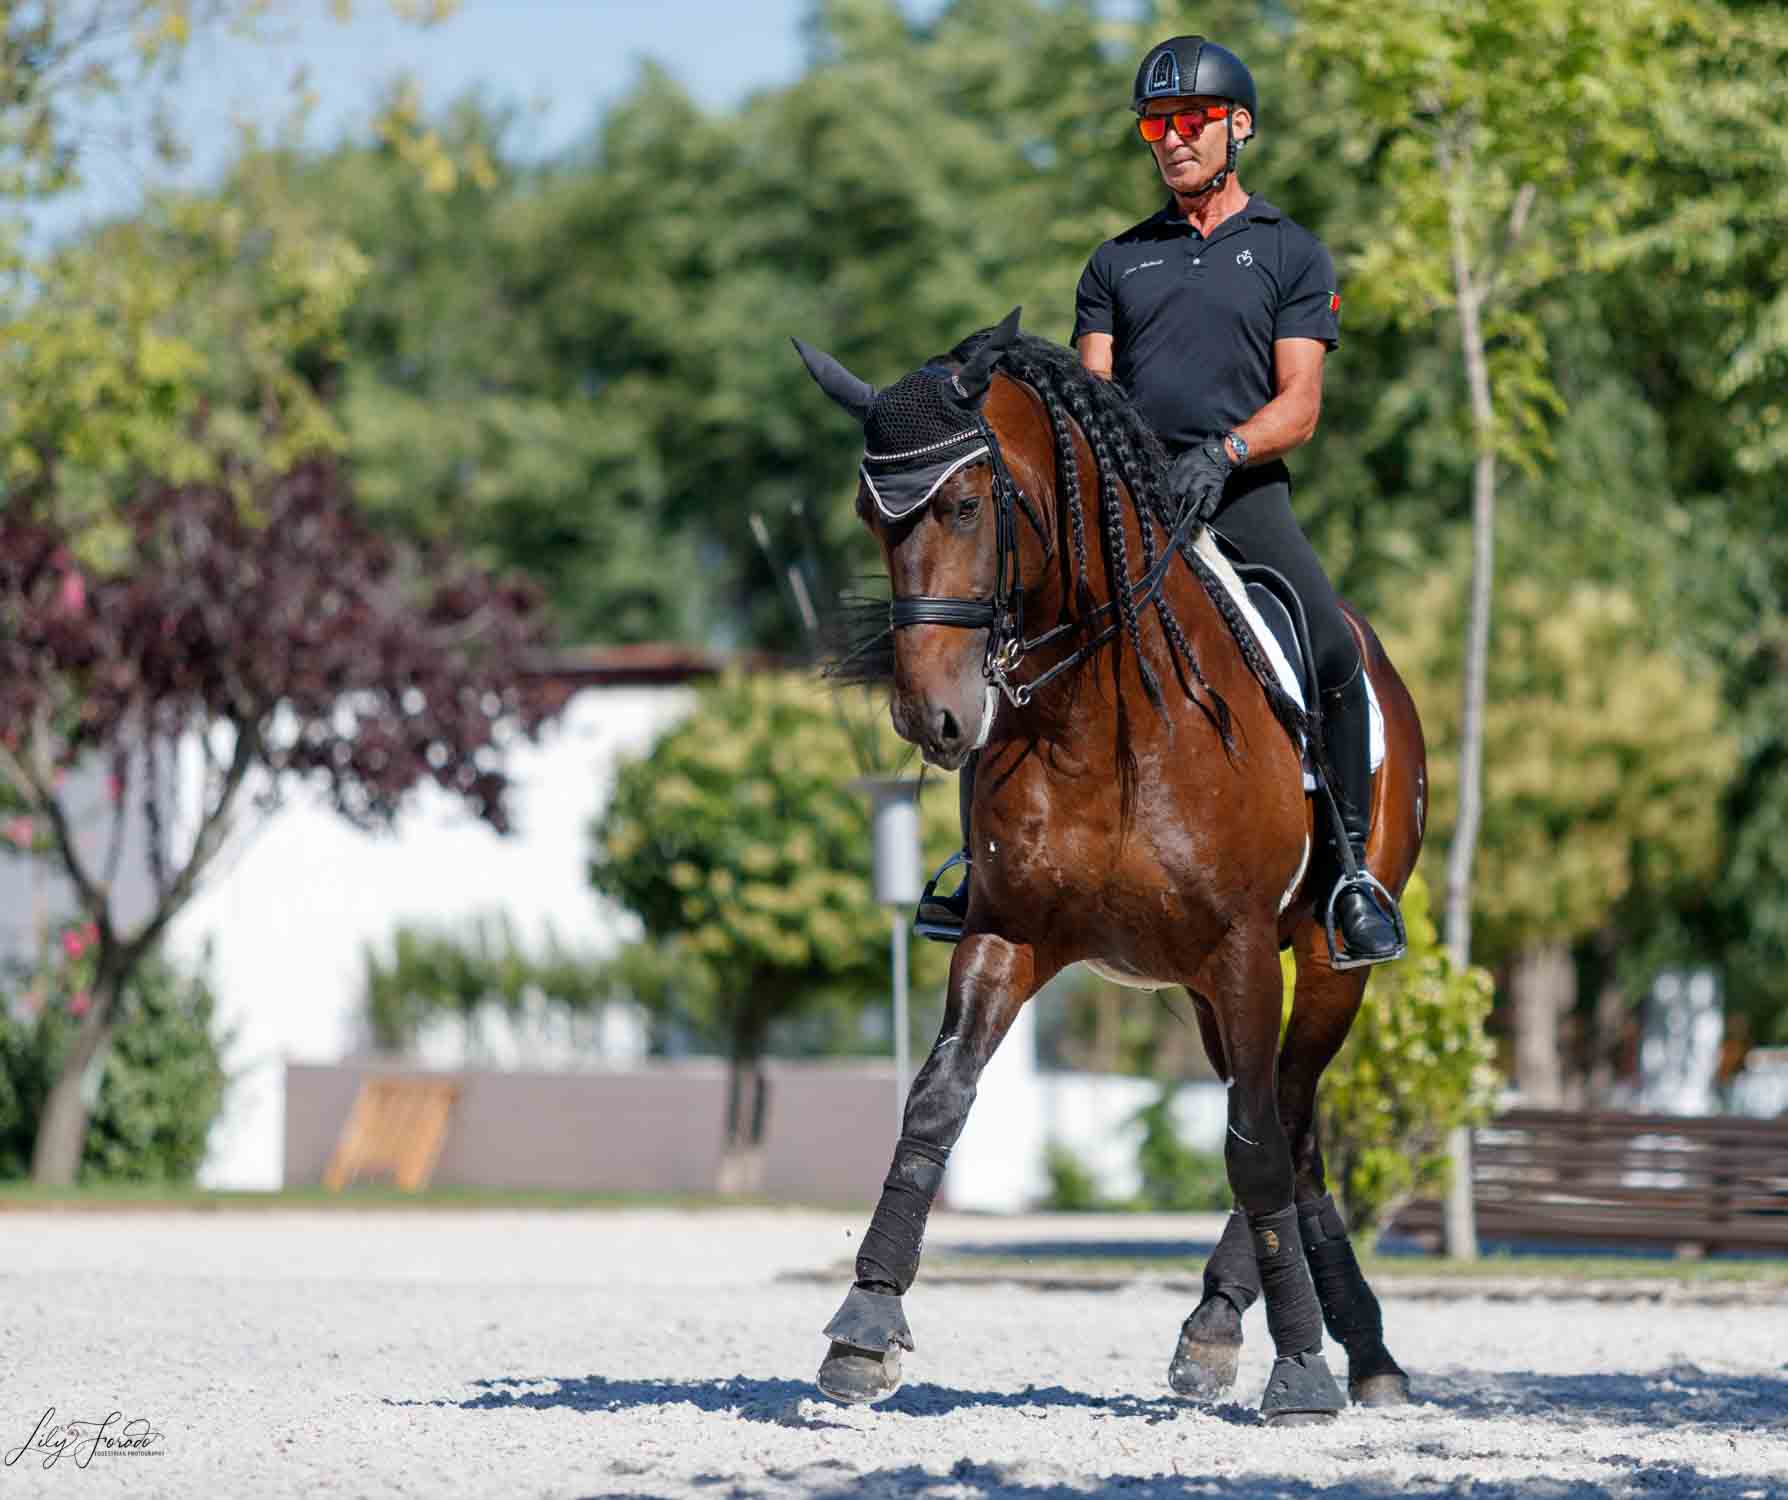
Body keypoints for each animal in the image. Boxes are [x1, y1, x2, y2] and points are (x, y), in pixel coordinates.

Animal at [793, 311, 1423, 1423]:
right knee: (1291, 1126)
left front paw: (1300, 1372)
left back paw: (1306, 1341)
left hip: (1321, 964)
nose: (930, 717)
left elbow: (1251, 1146)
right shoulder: (1010, 933)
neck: (1103, 717)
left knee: (1285, 1115)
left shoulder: (1241, 949)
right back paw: (1311, 1340)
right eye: (872, 518)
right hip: (1209, 994)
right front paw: (865, 1325)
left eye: (965, 504)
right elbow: (937, 1102)